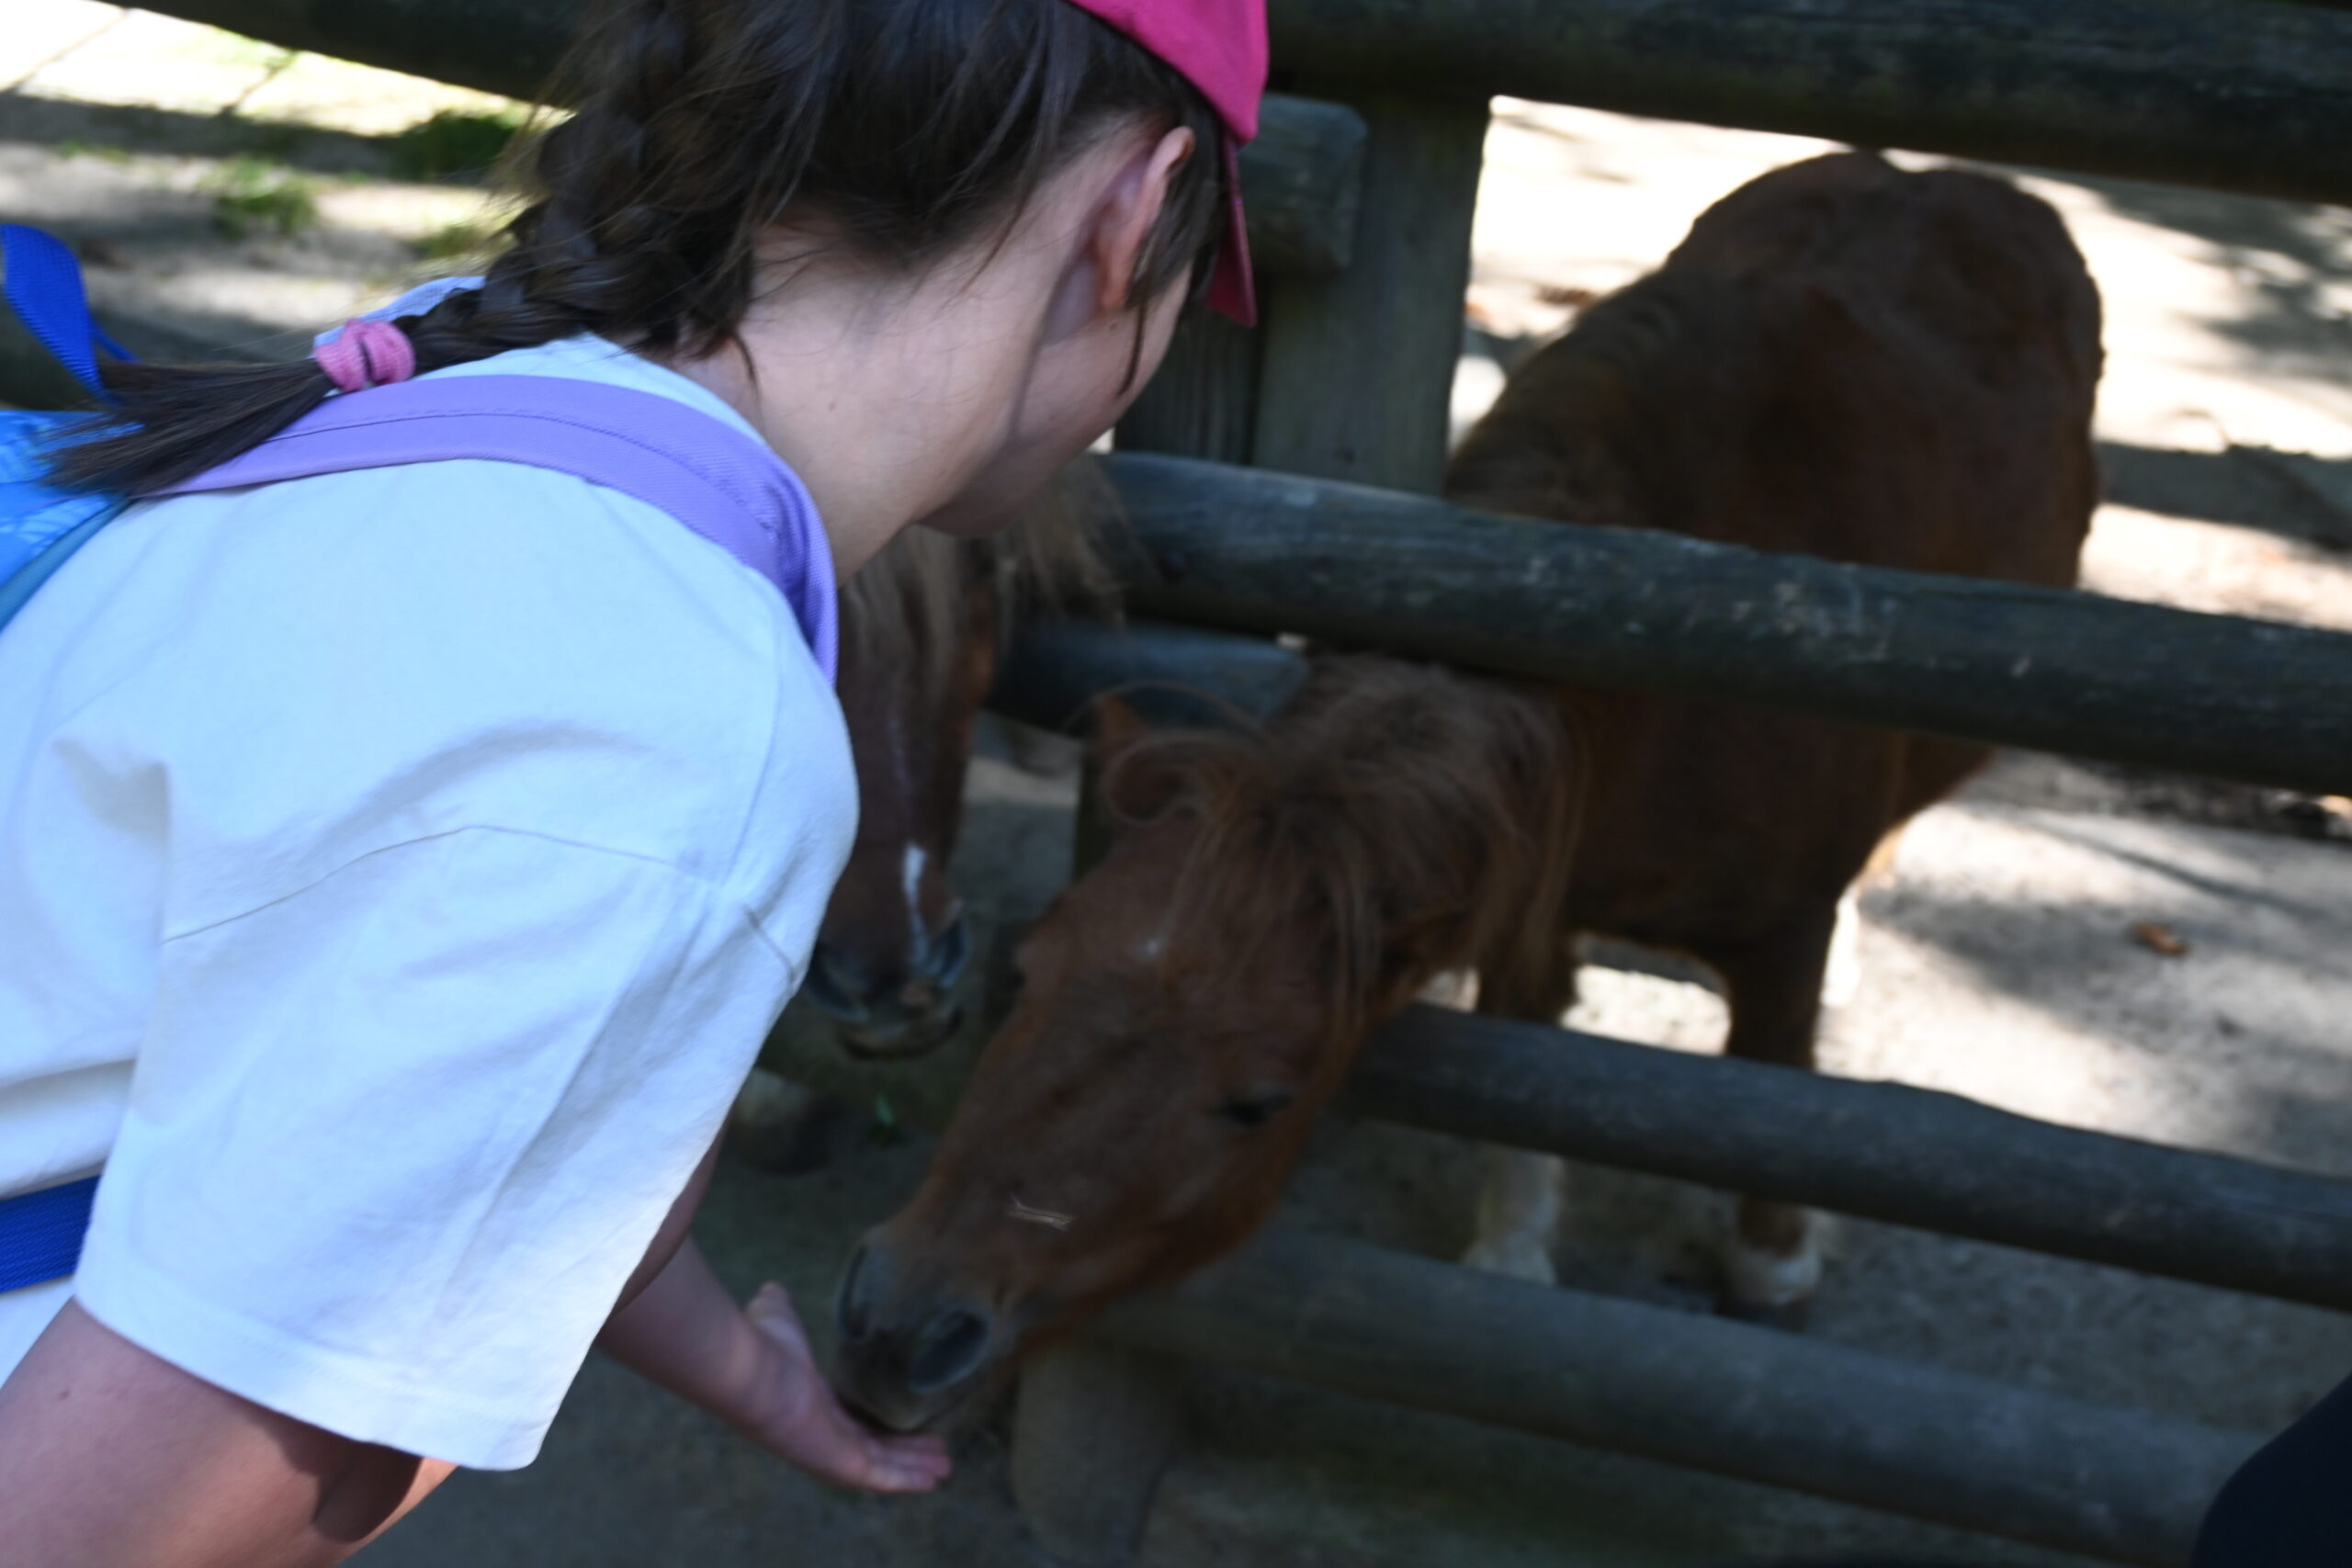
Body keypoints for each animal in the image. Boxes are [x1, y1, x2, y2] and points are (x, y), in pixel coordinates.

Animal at [832, 152, 2104, 1431]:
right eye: (1030, 972)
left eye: (1261, 1100)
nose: (897, 1329)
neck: (1654, 669)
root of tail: (1950, 179)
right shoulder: (1536, 886)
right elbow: (1531, 1068)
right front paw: (1511, 1256)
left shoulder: (1778, 931)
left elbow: (1775, 1089)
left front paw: (1773, 1263)